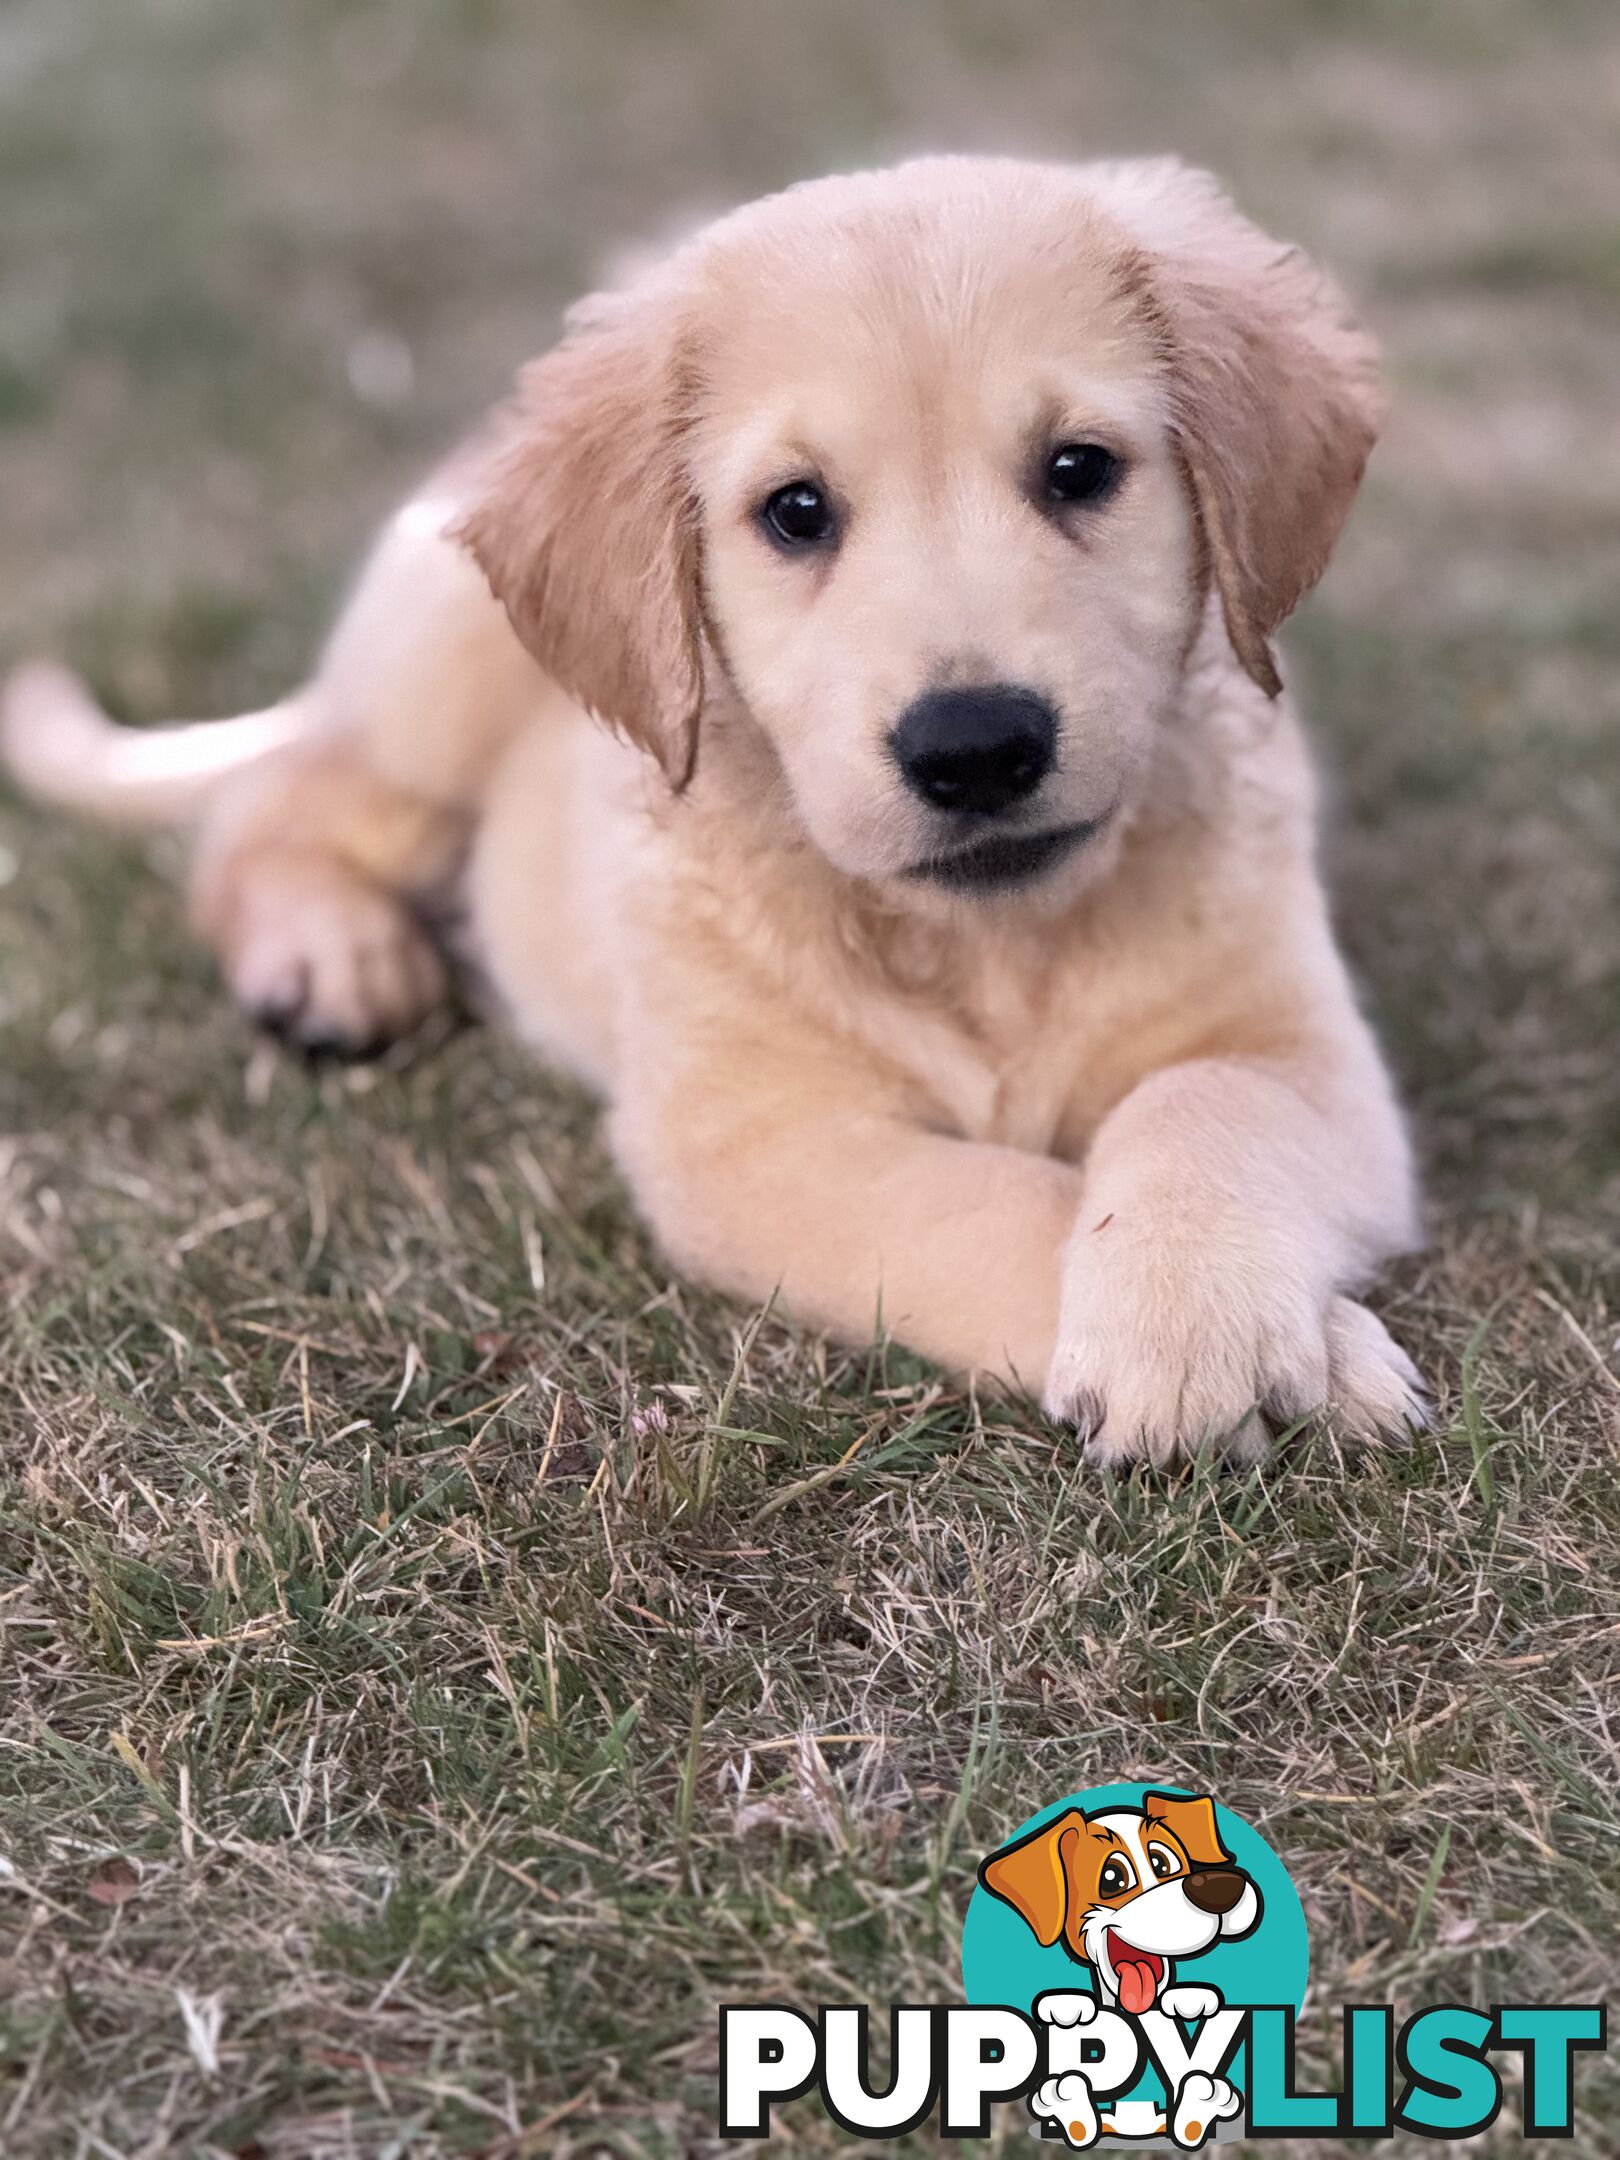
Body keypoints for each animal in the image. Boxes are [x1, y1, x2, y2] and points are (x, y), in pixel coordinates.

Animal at [0, 156, 1416, 1468]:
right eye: (796, 511)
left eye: (1080, 470)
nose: (975, 748)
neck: (988, 948)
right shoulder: (758, 1142)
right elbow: (1000, 1204)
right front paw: (1286, 1354)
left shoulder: (1301, 1048)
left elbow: (1203, 1104)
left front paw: (1194, 1319)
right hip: (429, 686)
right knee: (273, 798)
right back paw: (331, 955)